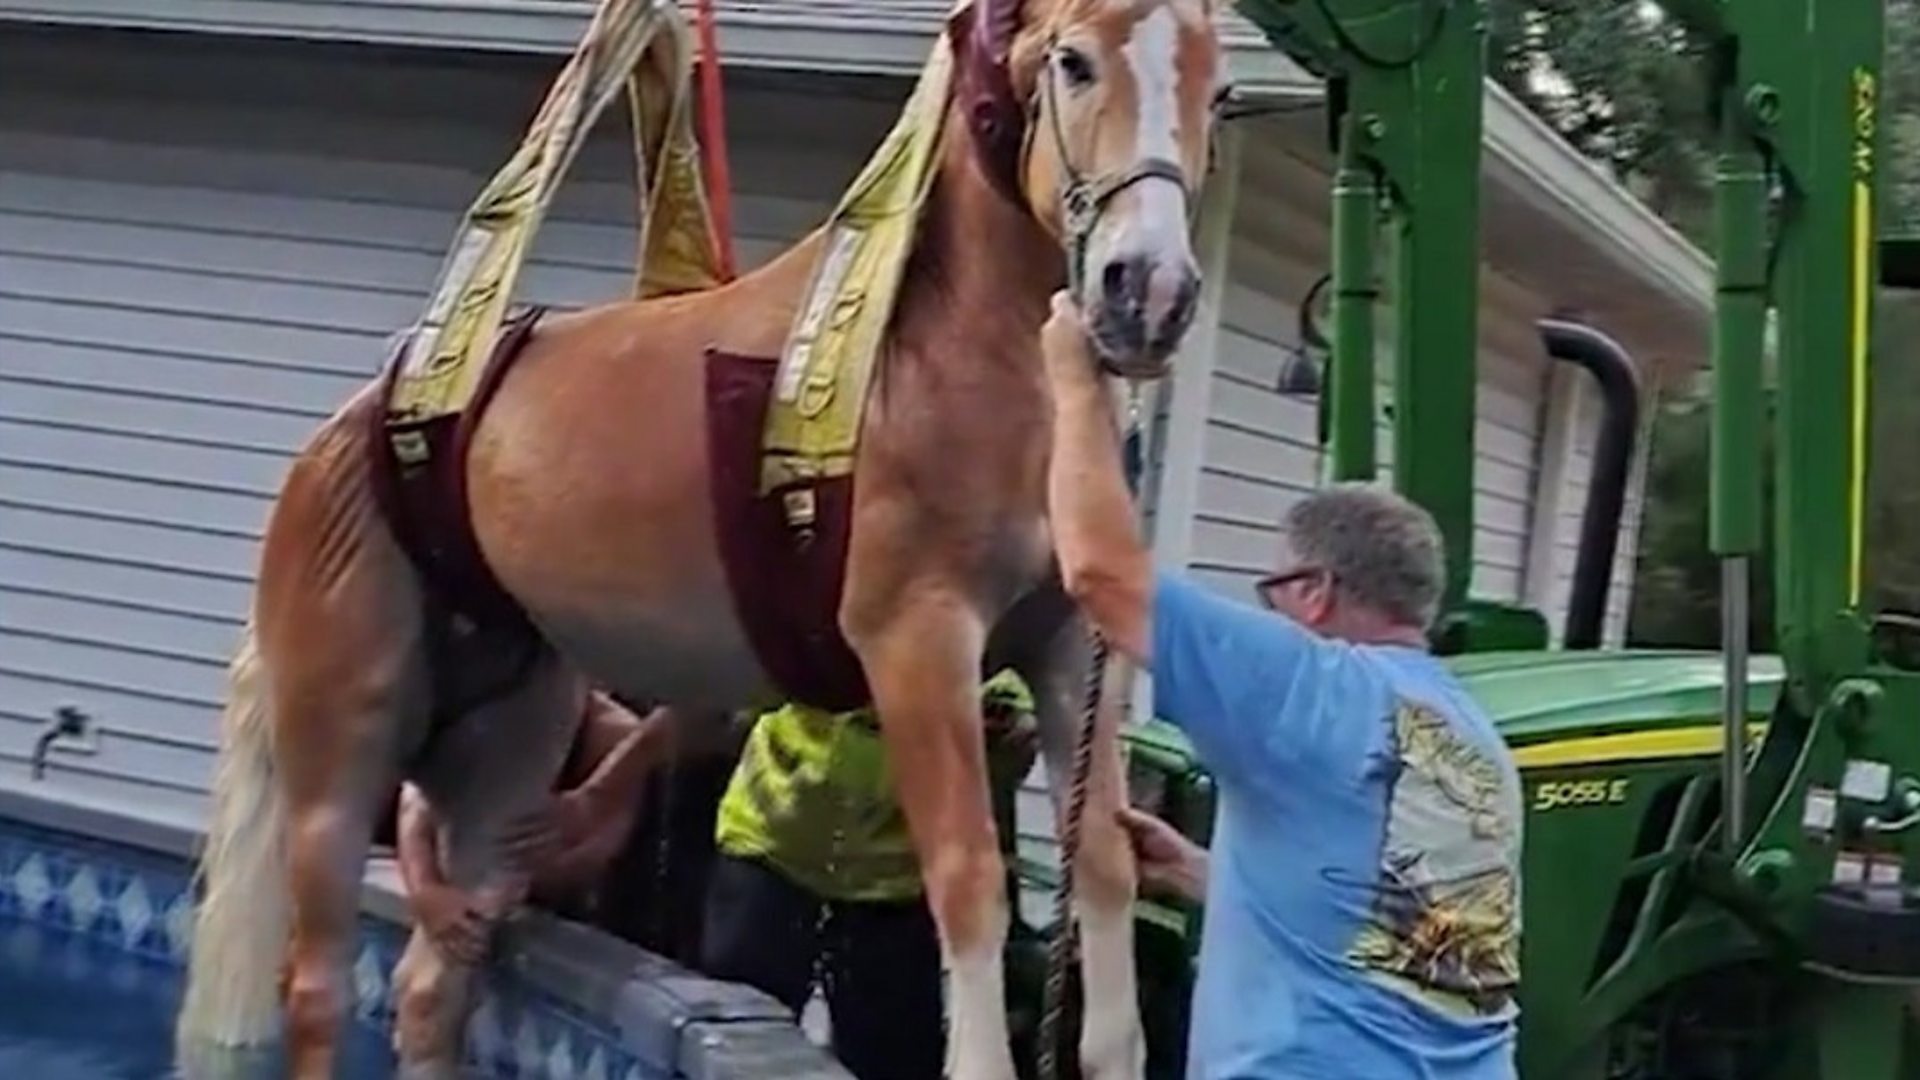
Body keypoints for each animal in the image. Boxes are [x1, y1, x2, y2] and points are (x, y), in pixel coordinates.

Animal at [183, 0, 1228, 1068]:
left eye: (1219, 91)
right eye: (1073, 63)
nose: (1150, 292)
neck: (927, 353)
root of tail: (344, 431)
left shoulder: (1064, 650)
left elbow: (1104, 866)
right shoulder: (918, 642)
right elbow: (968, 878)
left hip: (502, 750)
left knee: (434, 983)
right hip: (339, 748)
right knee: (314, 986)